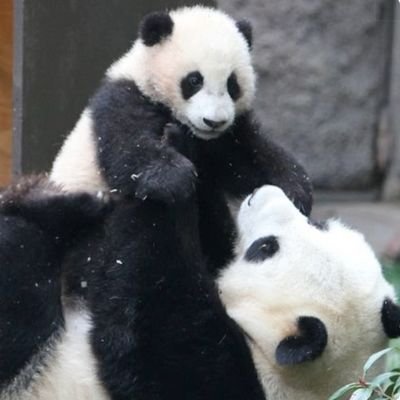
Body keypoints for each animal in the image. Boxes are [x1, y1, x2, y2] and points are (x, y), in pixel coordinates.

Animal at [50, 6, 312, 274]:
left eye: (232, 84)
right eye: (194, 80)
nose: (214, 121)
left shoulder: (224, 138)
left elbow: (246, 158)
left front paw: (294, 190)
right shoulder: (124, 100)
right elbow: (129, 150)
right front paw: (174, 178)